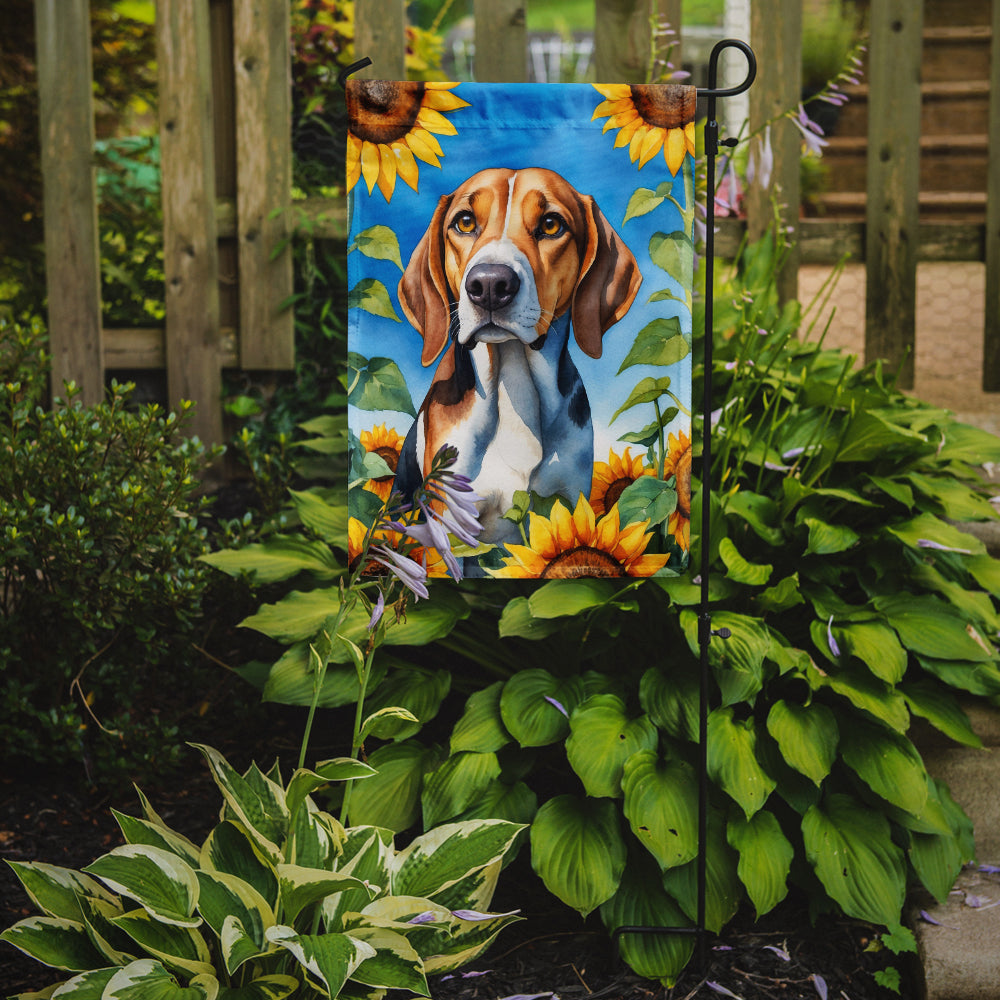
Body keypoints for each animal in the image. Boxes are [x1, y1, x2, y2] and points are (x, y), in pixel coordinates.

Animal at [392, 170, 640, 548]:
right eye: (465, 221)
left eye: (551, 224)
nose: (490, 285)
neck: (514, 383)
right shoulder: (453, 522)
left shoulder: (567, 501)